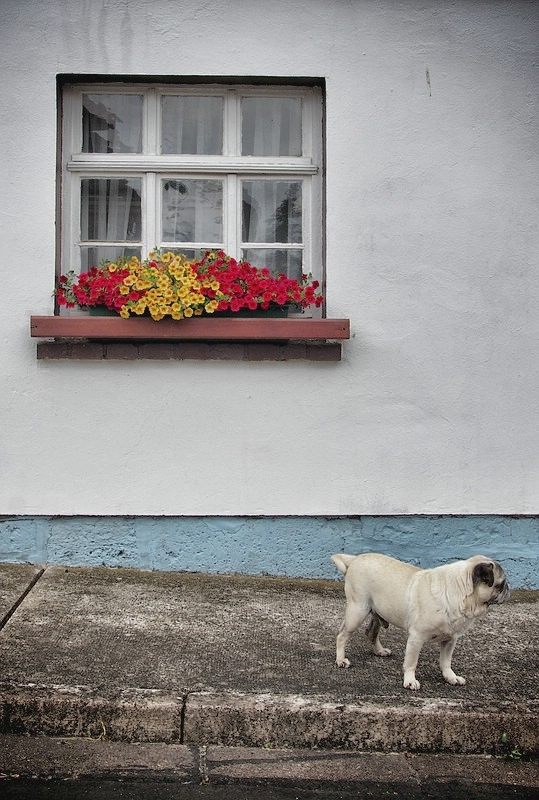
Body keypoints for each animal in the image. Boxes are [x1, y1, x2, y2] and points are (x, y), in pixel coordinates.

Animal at [332, 552, 512, 692]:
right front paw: (410, 681)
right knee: (342, 635)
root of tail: (354, 559)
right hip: (358, 611)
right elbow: (411, 662)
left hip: (378, 612)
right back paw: (341, 660)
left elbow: (446, 662)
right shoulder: (416, 638)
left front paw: (450, 677)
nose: (508, 589)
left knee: (371, 633)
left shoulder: (450, 640)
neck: (460, 591)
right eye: (501, 584)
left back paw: (379, 650)